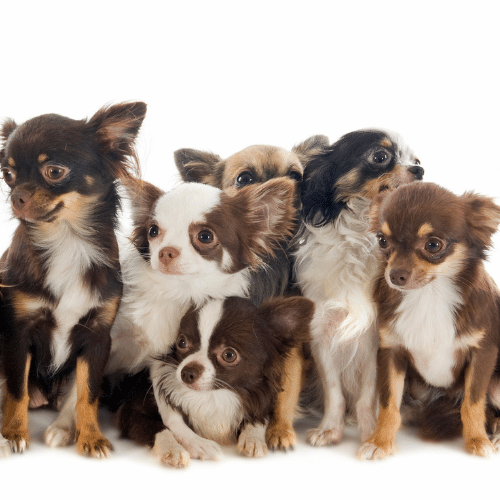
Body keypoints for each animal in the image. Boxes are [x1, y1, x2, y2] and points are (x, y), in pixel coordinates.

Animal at [0, 101, 146, 458]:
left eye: (54, 171)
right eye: (8, 175)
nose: (16, 196)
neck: (67, 240)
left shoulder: (97, 337)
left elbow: (88, 393)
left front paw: (91, 437)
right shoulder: (17, 334)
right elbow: (16, 390)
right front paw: (13, 433)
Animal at [118, 294, 312, 466]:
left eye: (229, 355)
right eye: (182, 342)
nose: (187, 372)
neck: (213, 395)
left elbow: (259, 419)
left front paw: (253, 438)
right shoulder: (131, 411)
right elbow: (162, 428)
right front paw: (184, 447)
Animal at [176, 136, 328, 450]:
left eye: (296, 176)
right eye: (244, 179)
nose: (287, 188)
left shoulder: (288, 343)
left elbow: (284, 390)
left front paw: (279, 430)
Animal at [294, 129, 424, 446]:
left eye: (416, 160)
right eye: (380, 157)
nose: (420, 170)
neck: (358, 238)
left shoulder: (376, 339)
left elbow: (368, 395)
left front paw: (369, 433)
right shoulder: (323, 333)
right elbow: (334, 392)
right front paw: (330, 429)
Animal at [358, 182, 500, 458]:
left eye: (433, 245)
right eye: (382, 241)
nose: (395, 275)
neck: (430, 296)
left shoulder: (483, 352)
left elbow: (472, 403)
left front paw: (477, 440)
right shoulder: (391, 352)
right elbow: (388, 405)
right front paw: (380, 441)